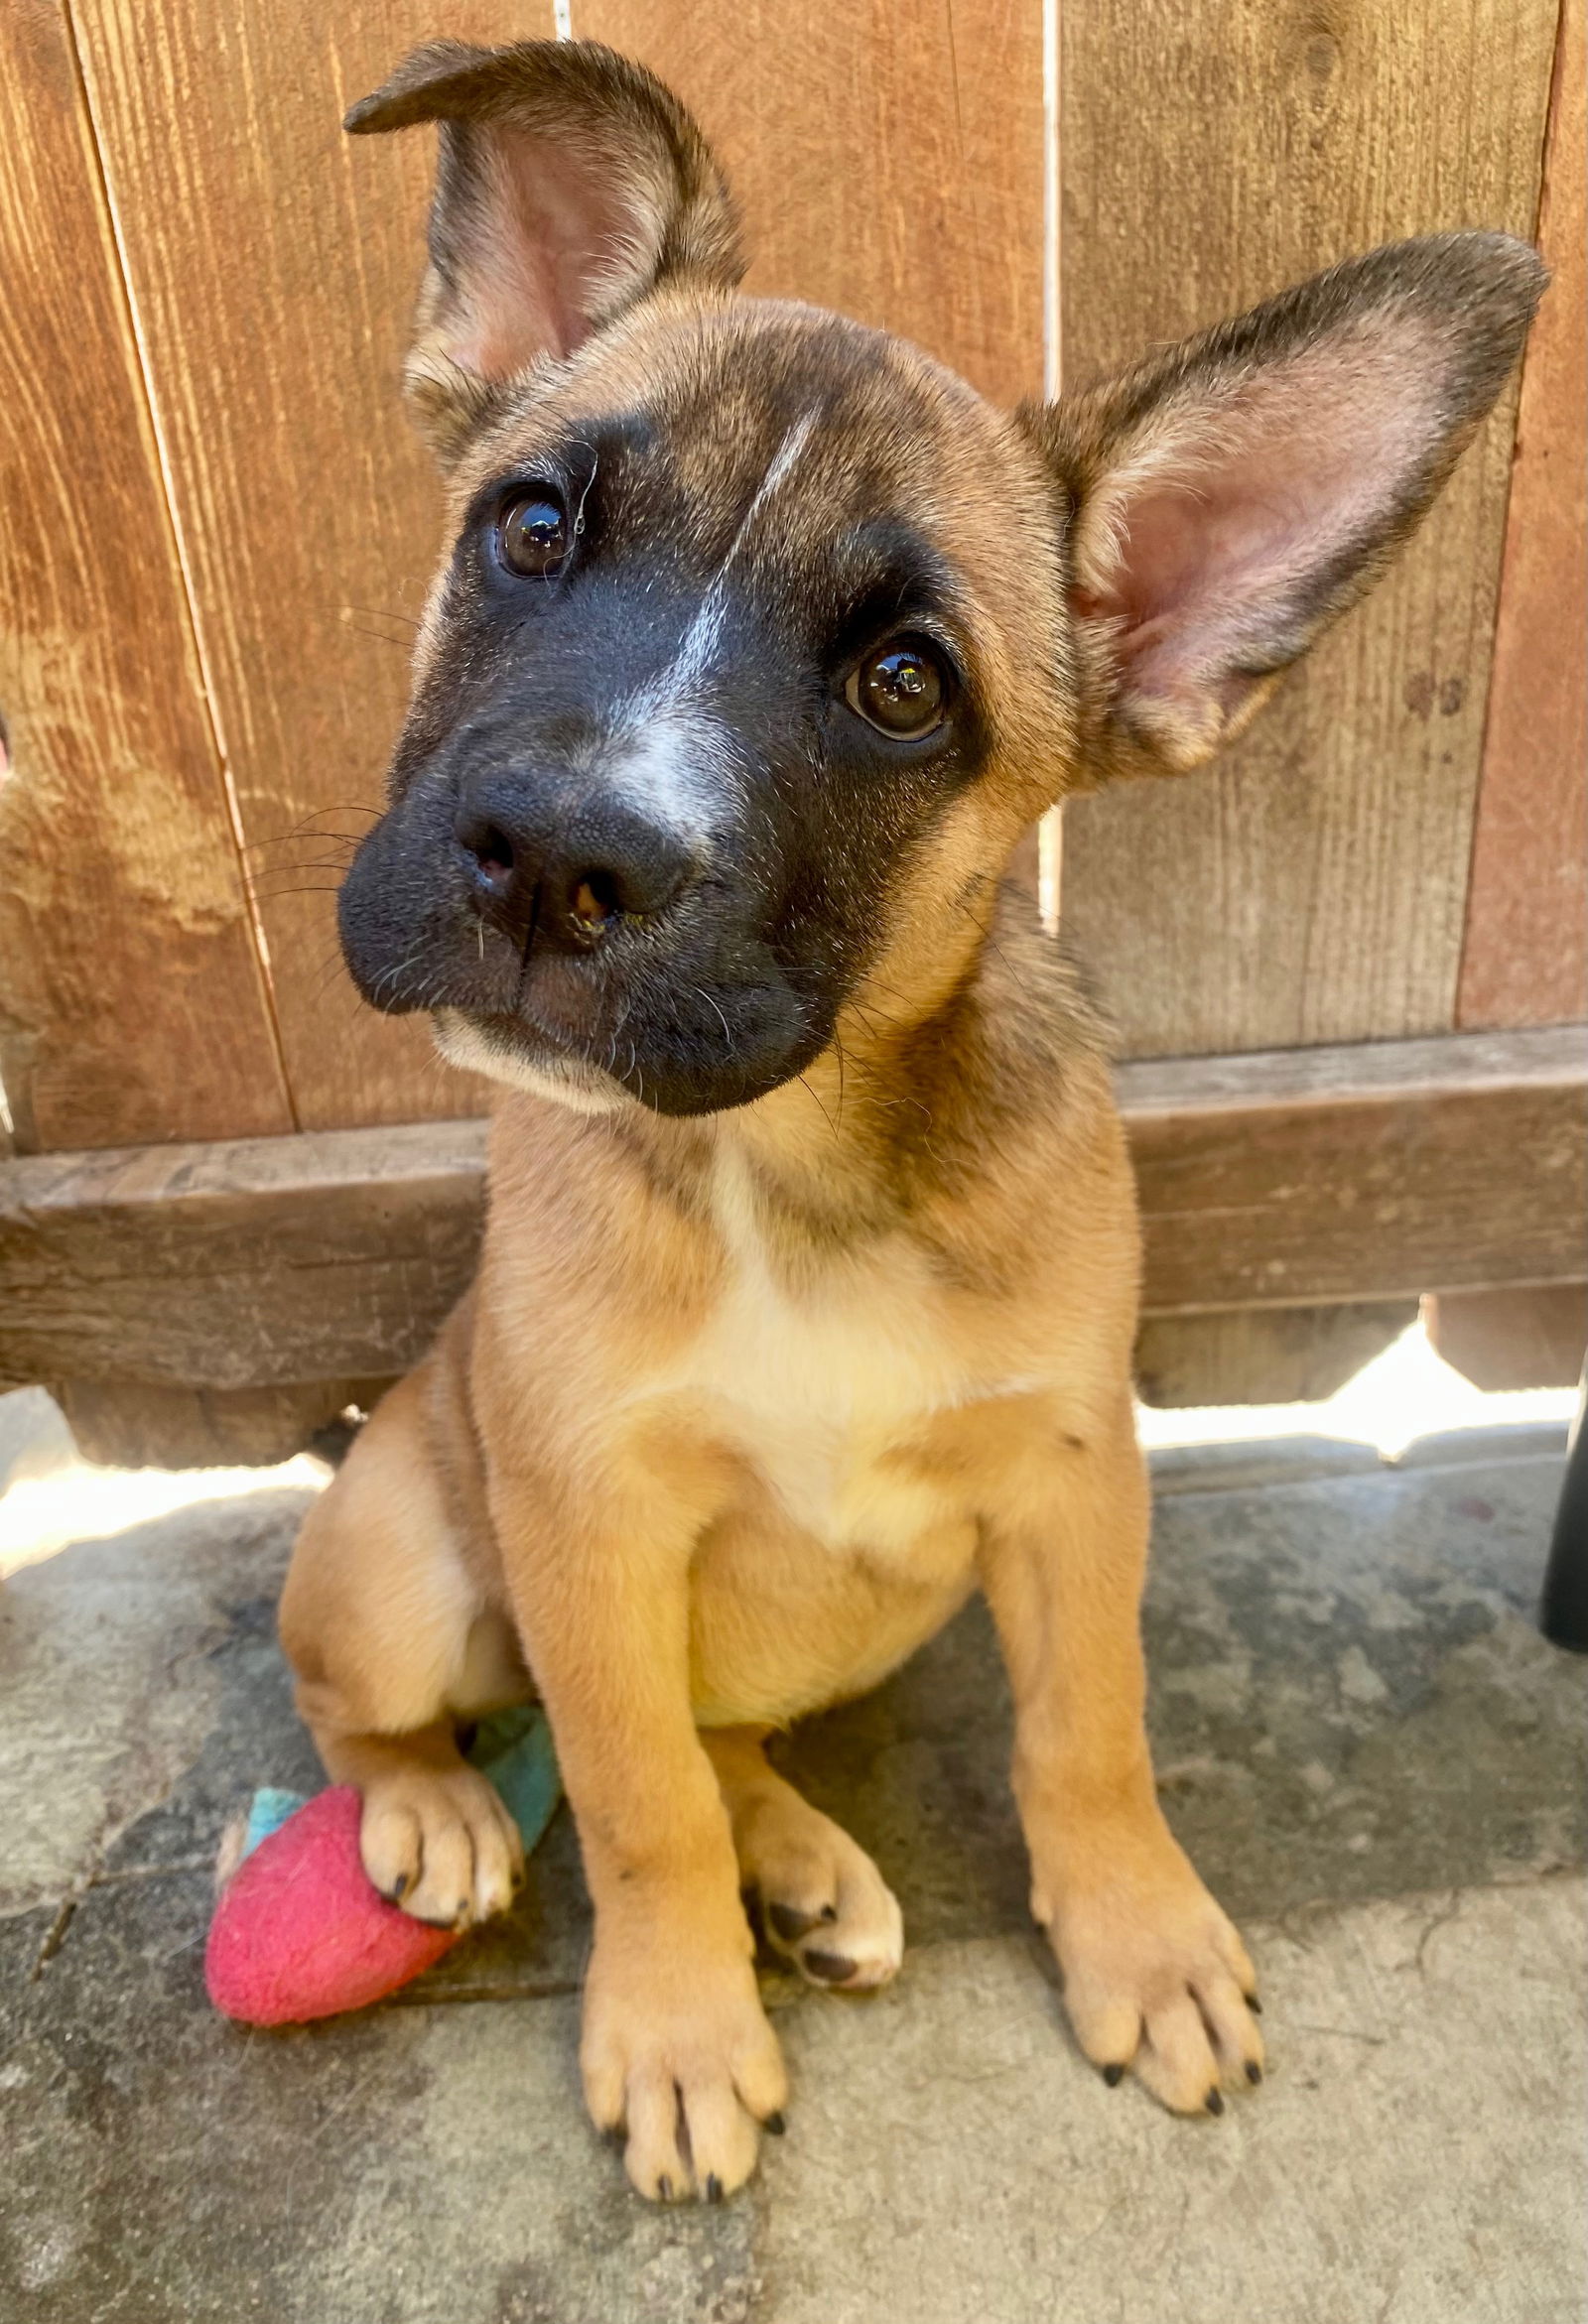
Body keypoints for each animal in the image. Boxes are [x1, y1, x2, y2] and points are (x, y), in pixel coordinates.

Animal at [279, 45, 1543, 2203]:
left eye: (900, 686)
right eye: (530, 527)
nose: (547, 855)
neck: (788, 1166)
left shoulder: (1071, 1484)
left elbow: (1085, 1734)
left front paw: (1139, 1941)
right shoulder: (589, 1527)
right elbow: (629, 1801)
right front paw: (678, 2024)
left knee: (725, 1737)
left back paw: (797, 1859)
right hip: (400, 1562)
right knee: (379, 1704)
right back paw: (443, 1809)